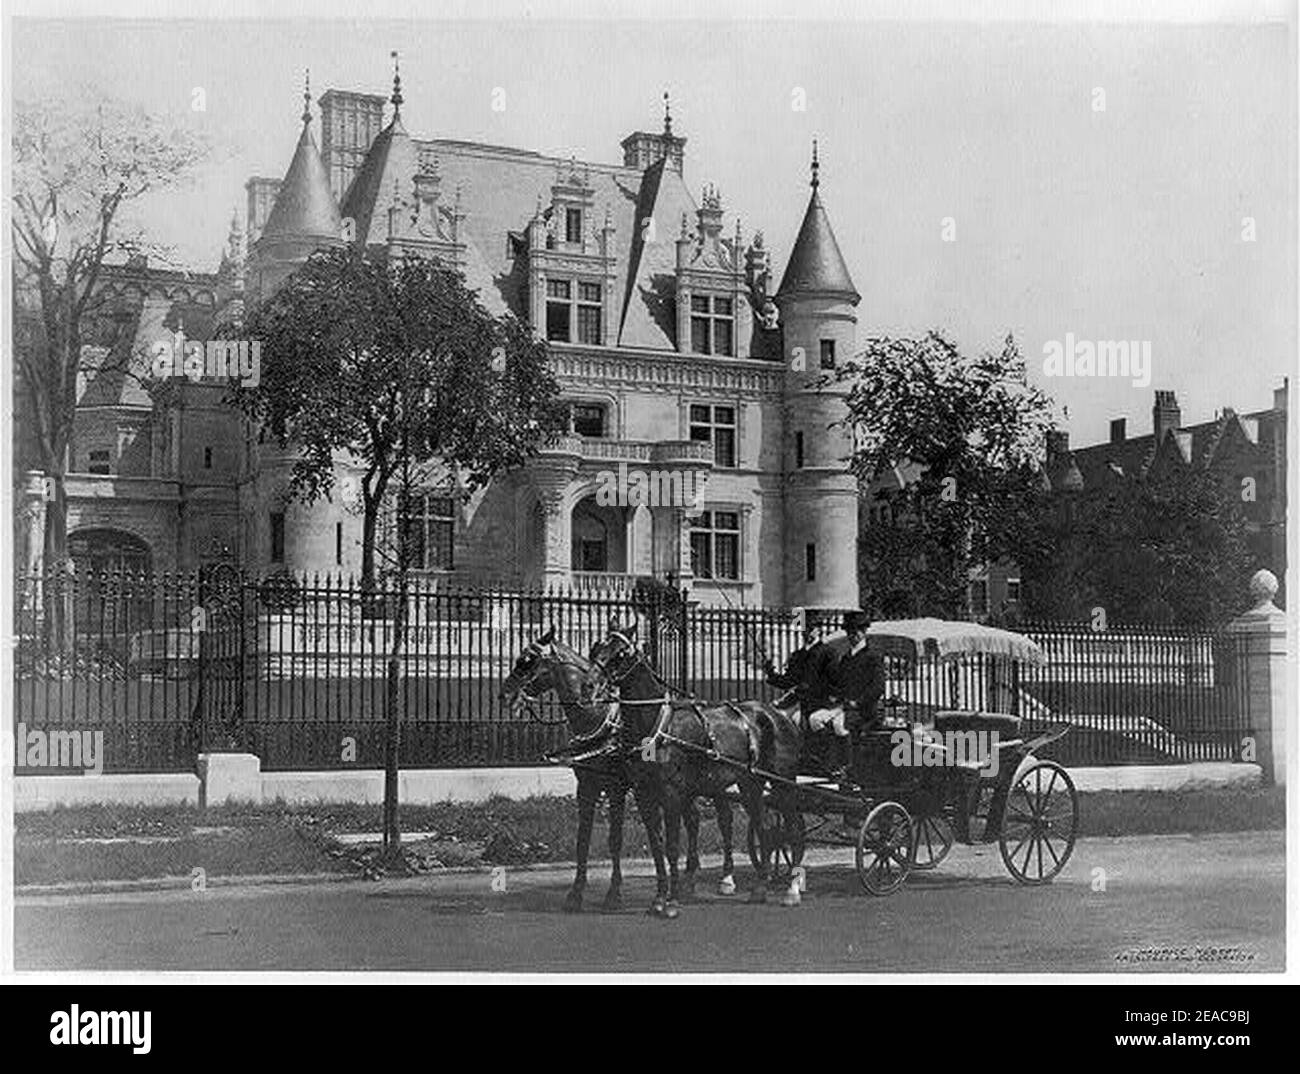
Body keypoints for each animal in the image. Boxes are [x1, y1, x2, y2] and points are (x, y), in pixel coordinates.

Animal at [590, 616, 800, 910]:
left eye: (621, 653)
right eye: (597, 646)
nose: (591, 682)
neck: (657, 725)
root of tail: (778, 714)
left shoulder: (671, 793)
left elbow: (671, 847)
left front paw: (671, 900)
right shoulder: (644, 793)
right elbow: (657, 846)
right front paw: (659, 897)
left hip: (784, 782)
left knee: (791, 827)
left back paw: (792, 886)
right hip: (750, 783)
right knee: (764, 828)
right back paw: (760, 887)